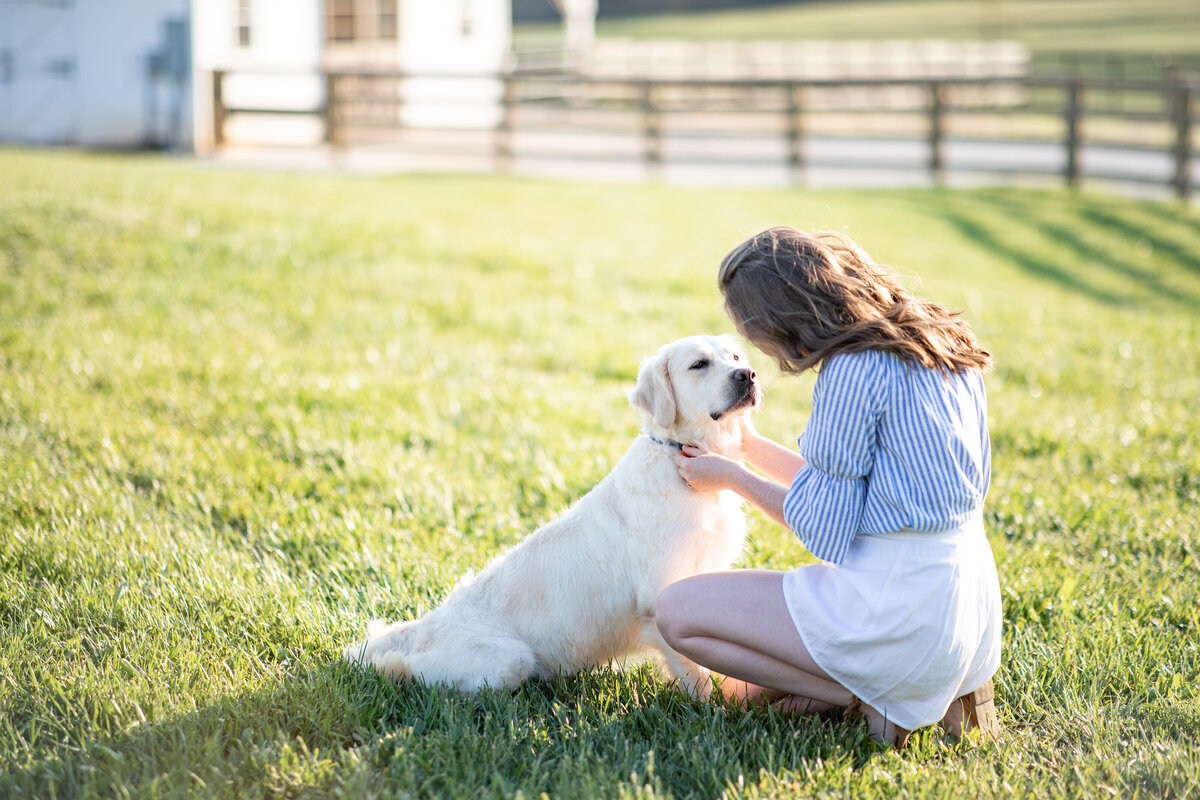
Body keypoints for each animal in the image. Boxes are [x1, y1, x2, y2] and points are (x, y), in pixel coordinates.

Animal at [348, 335, 758, 695]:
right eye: (699, 364)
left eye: (735, 357)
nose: (748, 374)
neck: (679, 458)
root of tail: (427, 625)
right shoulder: (660, 600)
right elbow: (697, 675)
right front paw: (718, 710)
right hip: (508, 660)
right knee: (403, 668)